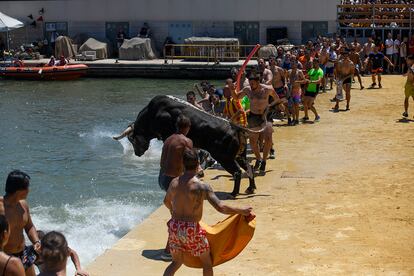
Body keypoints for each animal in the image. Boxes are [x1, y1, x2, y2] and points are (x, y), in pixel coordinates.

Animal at [126, 95, 256, 196]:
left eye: (131, 140)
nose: (137, 153)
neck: (152, 113)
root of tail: (234, 126)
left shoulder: (167, 136)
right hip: (239, 155)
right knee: (249, 167)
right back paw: (250, 188)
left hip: (224, 157)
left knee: (237, 172)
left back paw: (234, 193)